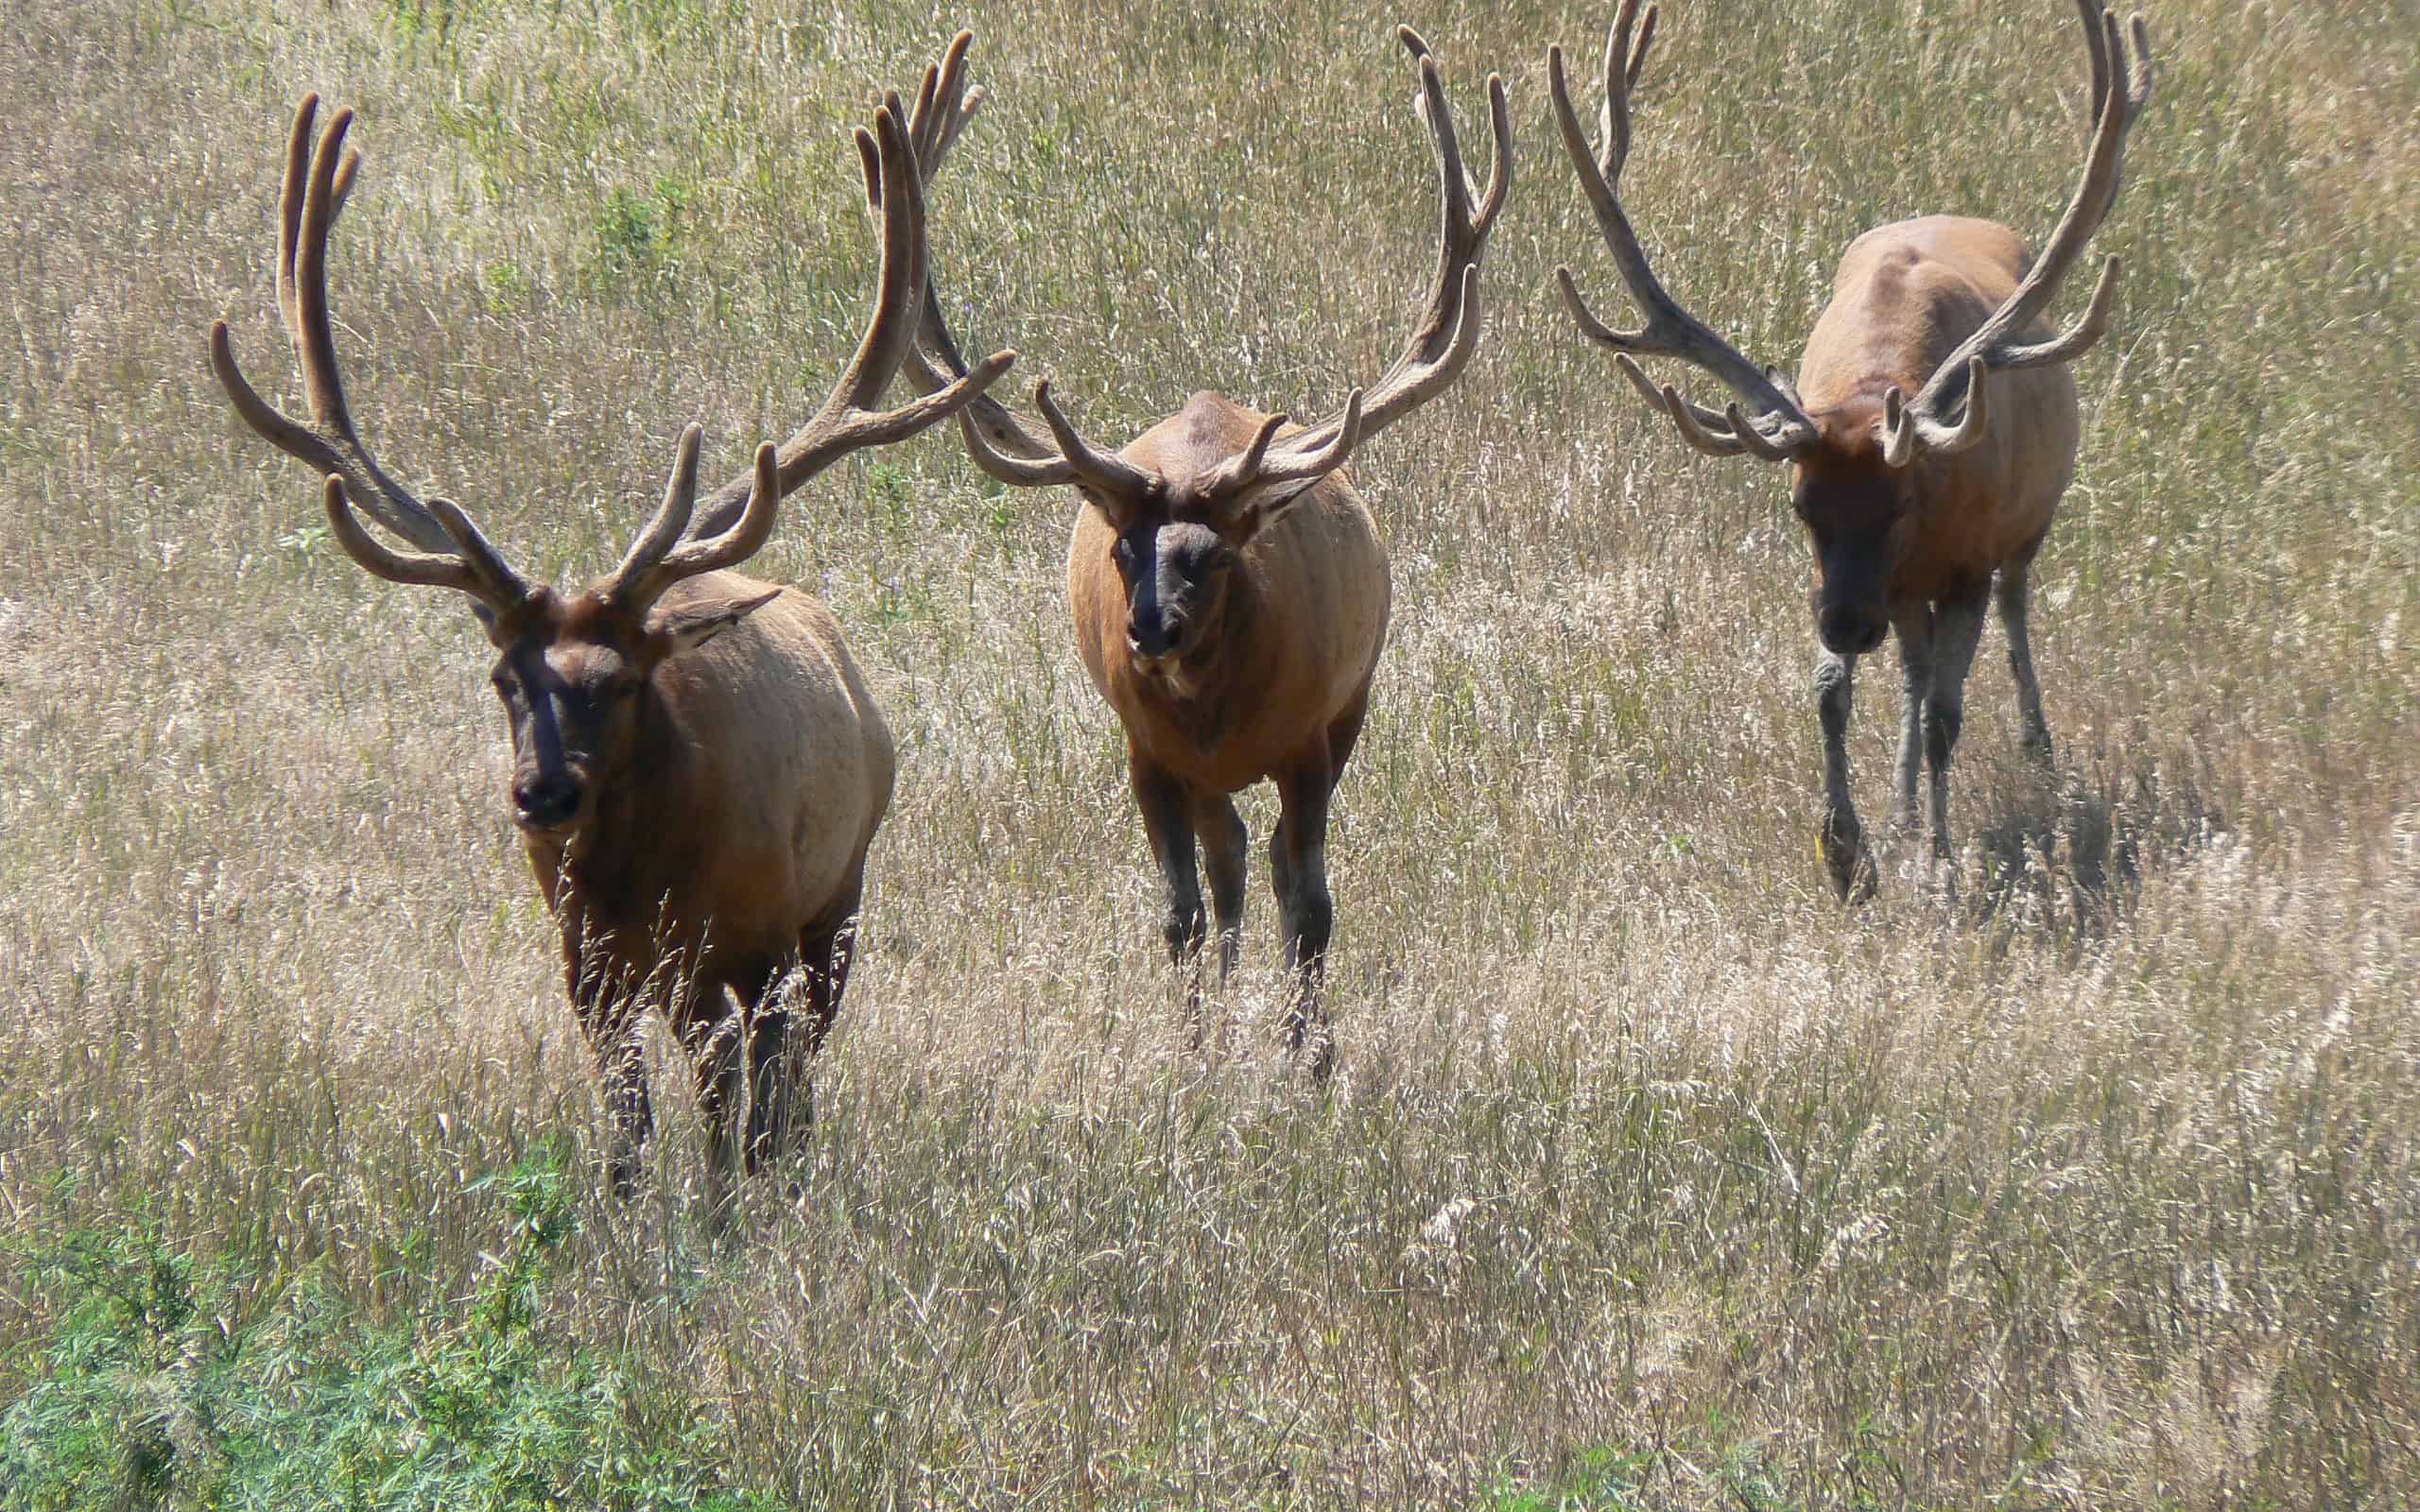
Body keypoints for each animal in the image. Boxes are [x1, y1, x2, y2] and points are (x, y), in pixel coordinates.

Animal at [200, 94, 1011, 1204]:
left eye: (621, 682)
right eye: (505, 678)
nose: (543, 794)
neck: (642, 874)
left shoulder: (749, 937)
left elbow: (743, 1115)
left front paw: (735, 1216)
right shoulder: (587, 966)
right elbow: (627, 1135)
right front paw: (637, 1220)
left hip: (836, 899)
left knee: (792, 1074)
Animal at [880, 29, 1500, 1069]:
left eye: (1214, 558)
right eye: (1122, 553)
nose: (1150, 633)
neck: (1217, 708)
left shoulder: (1308, 734)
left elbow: (1314, 902)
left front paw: (1302, 1052)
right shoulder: (1146, 751)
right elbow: (1179, 912)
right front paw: (1192, 1050)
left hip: (1353, 704)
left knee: (1269, 865)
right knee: (1228, 859)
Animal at [1558, 0, 2168, 895]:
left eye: (1902, 502)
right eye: (1800, 508)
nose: (1847, 624)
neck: (1880, 375)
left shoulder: (1964, 562)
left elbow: (1948, 716)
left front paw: (1939, 864)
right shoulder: (1852, 576)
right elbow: (1830, 694)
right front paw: (1849, 849)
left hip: (2026, 528)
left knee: (2011, 614)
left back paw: (2034, 748)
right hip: (1908, 596)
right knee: (1913, 668)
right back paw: (1904, 808)